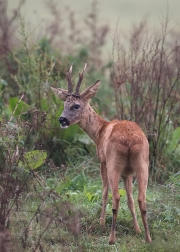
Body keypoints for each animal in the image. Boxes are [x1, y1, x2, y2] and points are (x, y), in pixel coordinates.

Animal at [51, 64, 152, 245]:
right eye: (64, 104)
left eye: (76, 105)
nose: (62, 120)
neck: (99, 131)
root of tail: (129, 140)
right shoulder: (127, 172)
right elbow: (130, 199)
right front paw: (137, 229)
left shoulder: (102, 161)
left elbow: (104, 192)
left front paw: (101, 222)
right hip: (143, 163)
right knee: (142, 198)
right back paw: (148, 238)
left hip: (113, 162)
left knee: (115, 196)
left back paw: (111, 238)